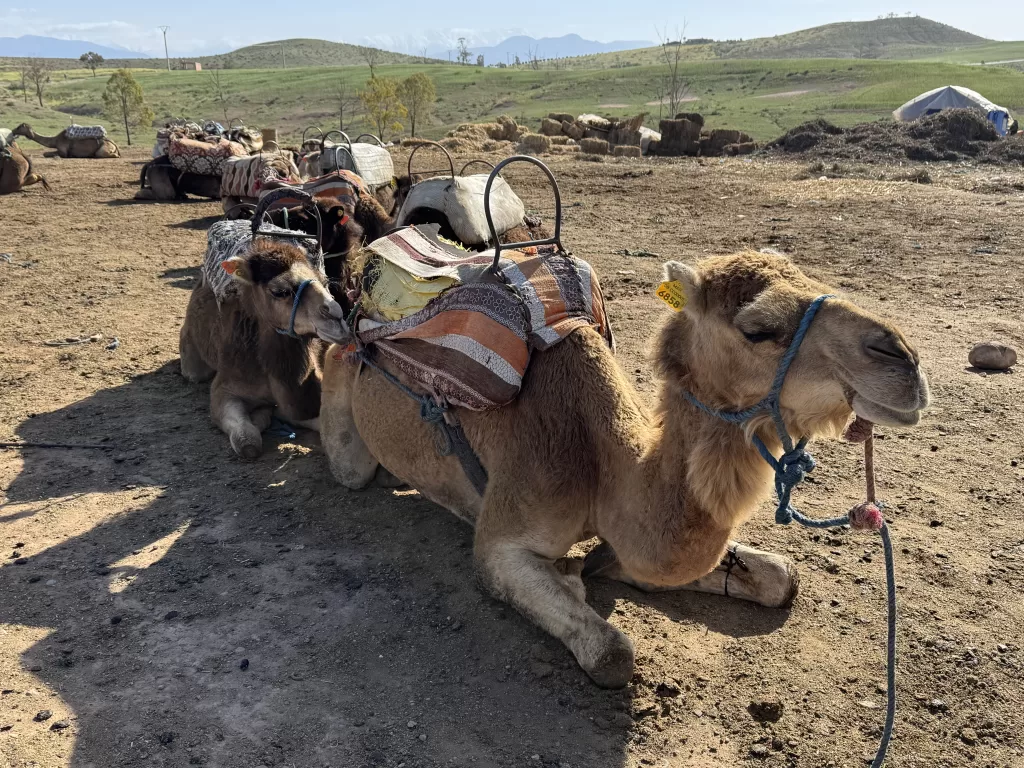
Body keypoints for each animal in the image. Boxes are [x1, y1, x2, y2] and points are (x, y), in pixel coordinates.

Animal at [179, 239, 349, 458]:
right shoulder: (225, 388)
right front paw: (262, 417)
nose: (336, 316)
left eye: (324, 281)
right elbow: (247, 442)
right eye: (280, 291)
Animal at [319, 250, 929, 687]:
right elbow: (613, 653)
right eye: (758, 328)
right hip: (344, 399)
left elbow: (783, 579)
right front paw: (582, 580)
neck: (604, 463)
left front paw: (599, 568)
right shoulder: (502, 540)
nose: (904, 359)